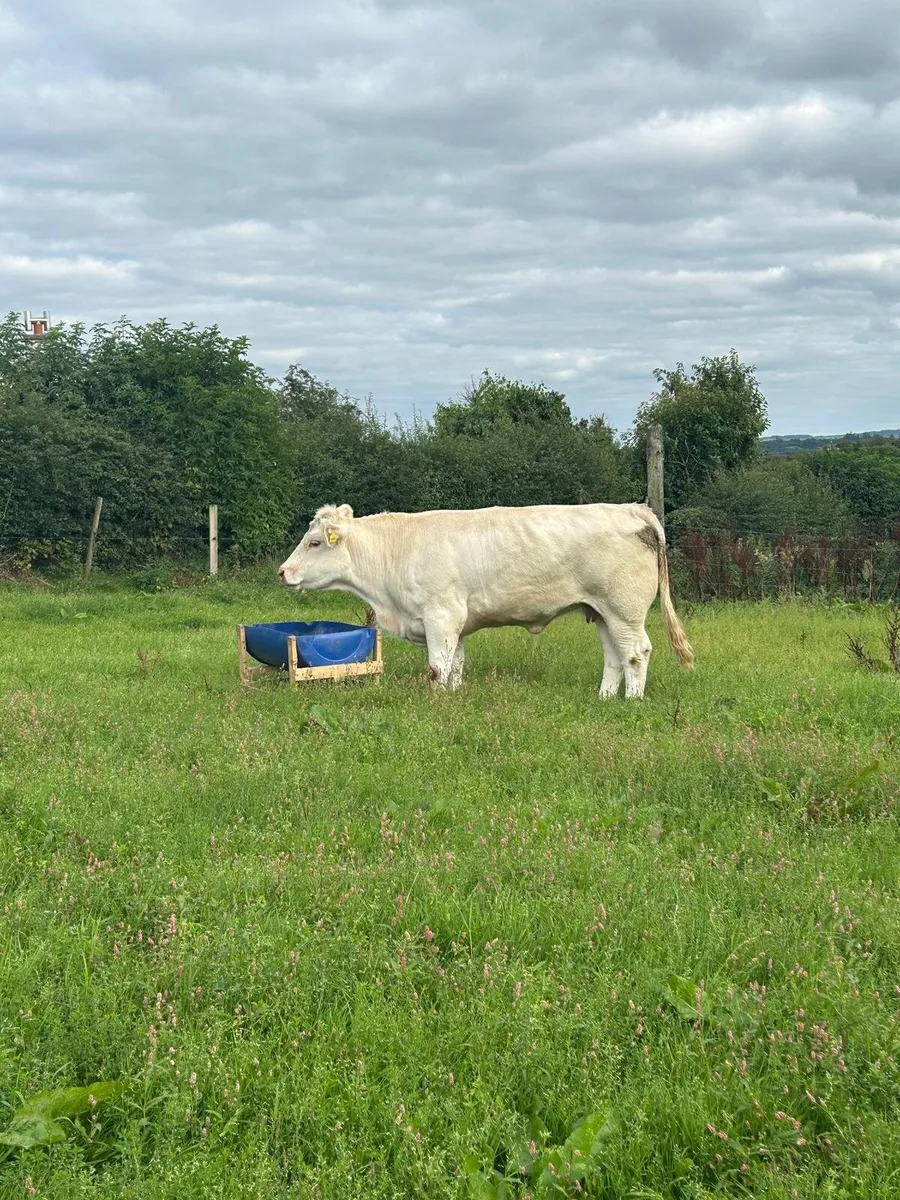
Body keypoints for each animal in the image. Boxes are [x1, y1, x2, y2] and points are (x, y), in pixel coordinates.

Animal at [278, 502, 694, 698]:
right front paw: (453, 697)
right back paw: (605, 697)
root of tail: (633, 508)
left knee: (636, 653)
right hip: (602, 612)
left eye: (314, 542)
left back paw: (632, 701)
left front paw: (436, 702)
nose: (283, 572)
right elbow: (455, 667)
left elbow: (437, 669)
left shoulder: (440, 615)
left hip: (624, 610)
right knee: (614, 656)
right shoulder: (455, 624)